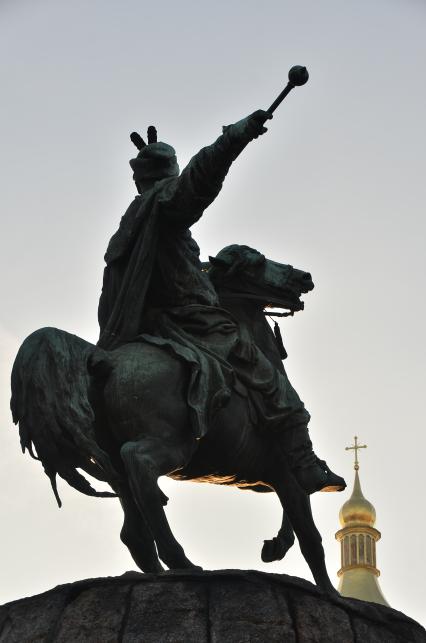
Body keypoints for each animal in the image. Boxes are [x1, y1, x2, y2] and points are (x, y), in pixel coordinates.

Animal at [9, 245, 336, 592]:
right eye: (257, 263)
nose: (304, 277)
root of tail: (107, 360)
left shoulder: (277, 475)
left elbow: (295, 521)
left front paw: (275, 546)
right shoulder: (287, 471)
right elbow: (310, 536)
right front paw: (330, 592)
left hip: (111, 463)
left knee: (131, 525)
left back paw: (155, 569)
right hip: (171, 445)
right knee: (139, 463)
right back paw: (181, 561)